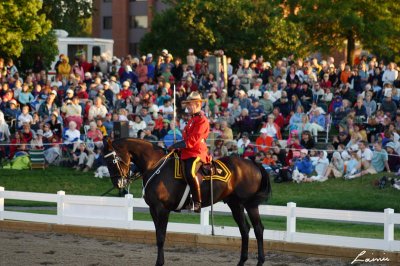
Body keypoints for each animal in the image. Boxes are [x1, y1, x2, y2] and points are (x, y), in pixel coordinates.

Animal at [103, 138, 272, 264]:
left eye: (112, 161)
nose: (118, 183)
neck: (155, 165)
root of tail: (253, 163)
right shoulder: (153, 209)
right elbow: (158, 236)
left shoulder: (162, 209)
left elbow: (161, 237)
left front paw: (160, 262)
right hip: (235, 204)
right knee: (245, 229)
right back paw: (242, 261)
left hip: (250, 205)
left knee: (258, 229)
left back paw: (260, 261)